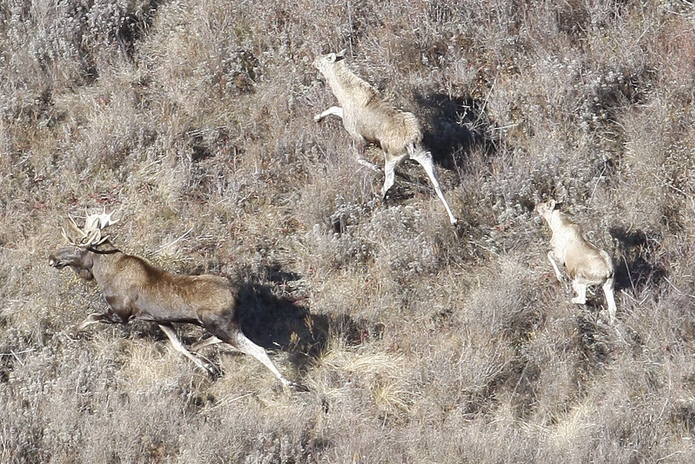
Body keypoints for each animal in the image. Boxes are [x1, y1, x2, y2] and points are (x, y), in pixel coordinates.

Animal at [49, 212, 308, 390]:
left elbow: (89, 317)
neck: (104, 273)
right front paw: (208, 367)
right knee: (215, 341)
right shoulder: (159, 319)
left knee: (258, 349)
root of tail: (236, 294)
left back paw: (289, 382)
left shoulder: (121, 314)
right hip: (219, 325)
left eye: (76, 247)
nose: (52, 258)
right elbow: (178, 346)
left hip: (222, 326)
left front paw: (67, 334)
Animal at [314, 49, 456, 225]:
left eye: (326, 57)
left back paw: (379, 198)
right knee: (436, 182)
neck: (343, 93)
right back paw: (453, 218)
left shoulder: (357, 135)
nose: (315, 59)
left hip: (392, 157)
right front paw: (317, 118)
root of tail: (411, 143)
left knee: (390, 180)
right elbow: (333, 108)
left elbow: (357, 157)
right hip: (424, 154)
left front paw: (375, 167)